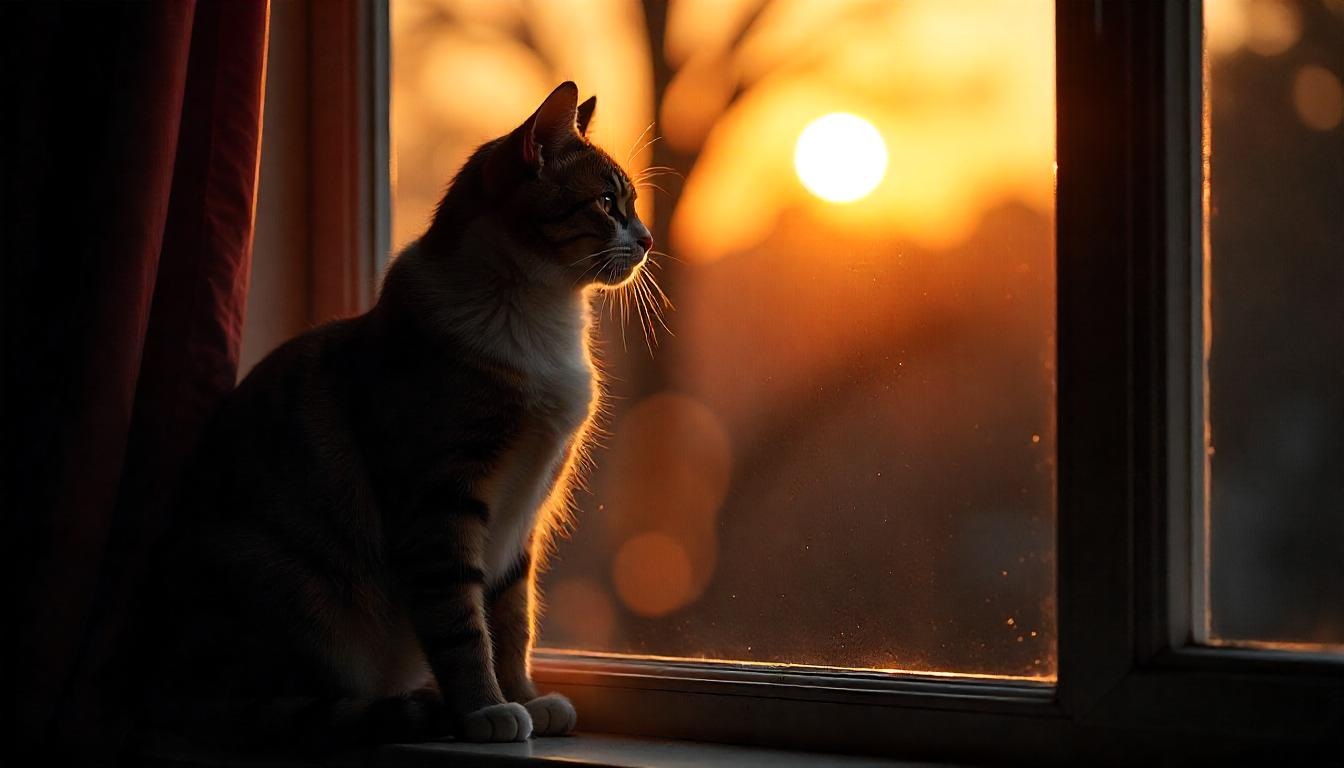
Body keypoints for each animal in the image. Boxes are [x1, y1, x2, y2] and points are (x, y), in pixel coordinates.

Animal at [139, 84, 653, 753]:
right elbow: (462, 624)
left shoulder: (523, 518)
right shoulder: (441, 501)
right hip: (280, 578)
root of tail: (161, 679)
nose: (647, 240)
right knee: (265, 705)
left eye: (631, 203)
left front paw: (524, 697)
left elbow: (511, 618)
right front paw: (485, 709)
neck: (539, 316)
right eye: (607, 203)